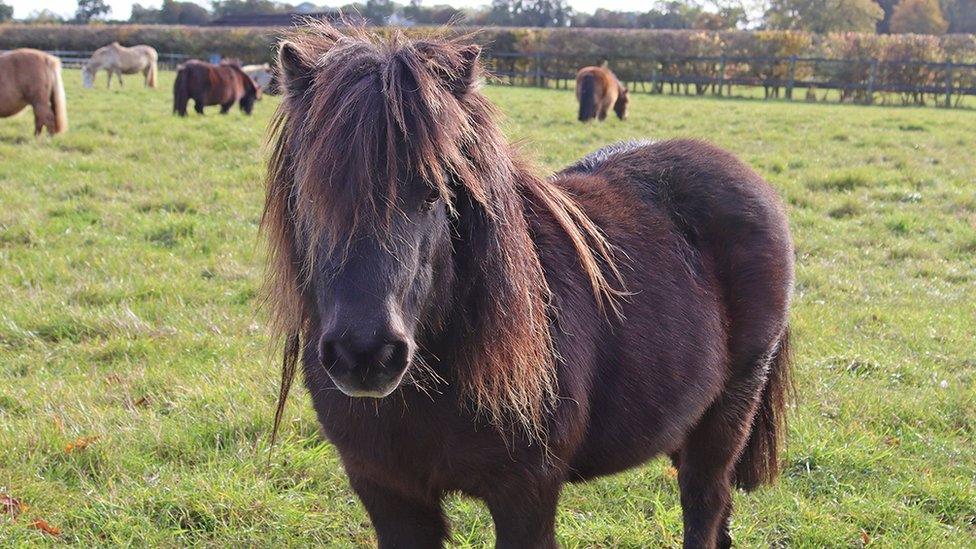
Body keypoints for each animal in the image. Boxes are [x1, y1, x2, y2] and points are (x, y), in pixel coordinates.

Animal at [262, 22, 792, 548]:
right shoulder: (388, 493)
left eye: (434, 191)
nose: (365, 355)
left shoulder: (526, 494)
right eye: (310, 193)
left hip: (726, 416)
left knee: (705, 501)